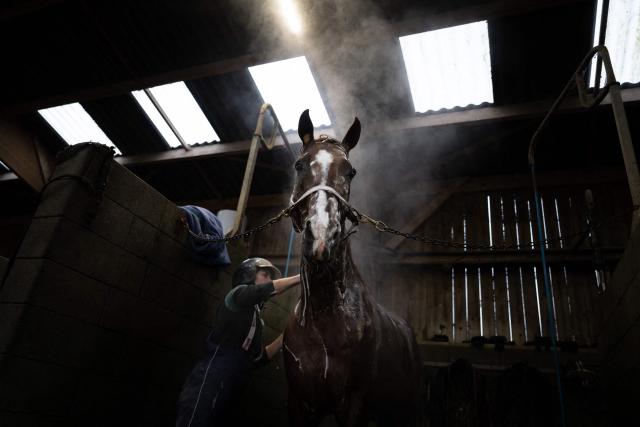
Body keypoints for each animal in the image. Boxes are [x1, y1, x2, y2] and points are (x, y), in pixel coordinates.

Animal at [282, 110, 424, 426]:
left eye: (351, 171)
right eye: (298, 165)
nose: (322, 236)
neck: (324, 315)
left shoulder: (352, 405)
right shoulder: (299, 403)